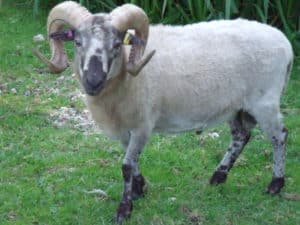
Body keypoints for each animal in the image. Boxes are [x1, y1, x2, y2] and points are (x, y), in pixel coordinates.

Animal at [34, 0, 292, 223]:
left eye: (116, 45)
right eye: (77, 42)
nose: (93, 81)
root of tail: (286, 44)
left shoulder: (142, 124)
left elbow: (126, 165)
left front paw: (124, 209)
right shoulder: (126, 127)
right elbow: (131, 160)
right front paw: (139, 189)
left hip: (265, 102)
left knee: (279, 136)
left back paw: (275, 184)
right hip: (235, 106)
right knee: (241, 136)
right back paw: (218, 177)